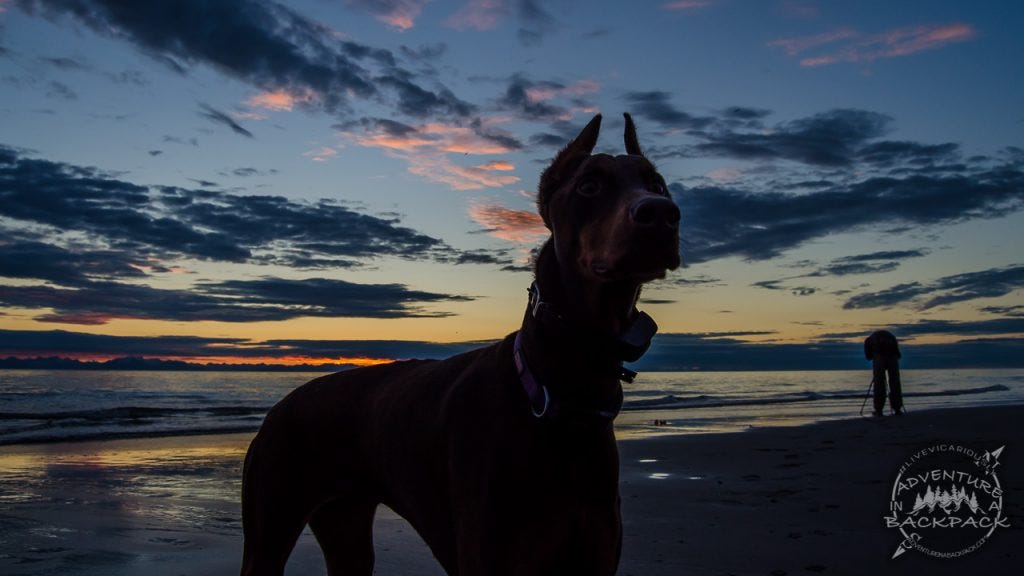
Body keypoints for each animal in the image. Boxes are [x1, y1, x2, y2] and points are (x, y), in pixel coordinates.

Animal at [239, 113, 679, 573]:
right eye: (589, 186)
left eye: (658, 183)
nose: (662, 213)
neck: (560, 393)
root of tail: (278, 408)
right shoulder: (488, 553)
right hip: (270, 521)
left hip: (346, 524)